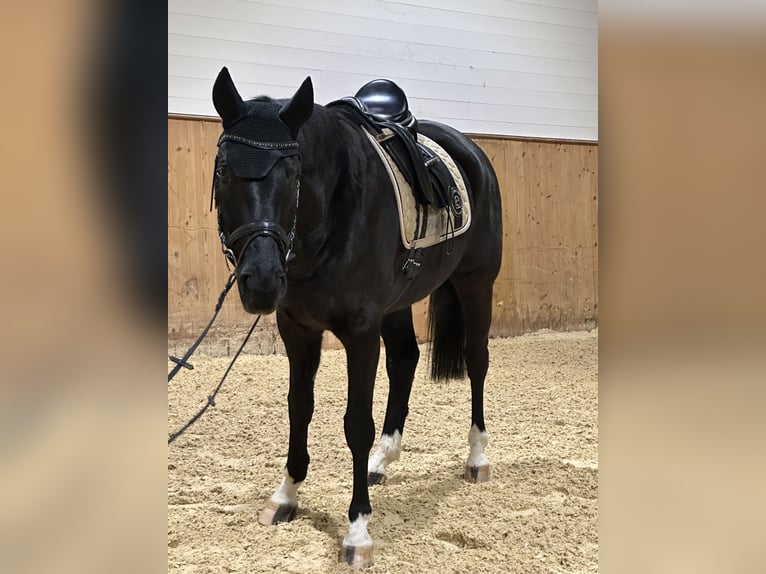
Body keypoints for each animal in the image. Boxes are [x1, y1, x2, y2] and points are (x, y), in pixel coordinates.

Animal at [210, 68, 504, 572]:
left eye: (293, 173)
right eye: (225, 170)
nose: (262, 281)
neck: (330, 217)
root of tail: (472, 151)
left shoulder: (361, 330)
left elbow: (356, 424)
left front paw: (358, 529)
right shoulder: (297, 329)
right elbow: (299, 407)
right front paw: (286, 495)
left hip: (475, 284)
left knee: (477, 359)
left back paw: (477, 457)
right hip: (399, 303)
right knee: (405, 359)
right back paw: (381, 461)